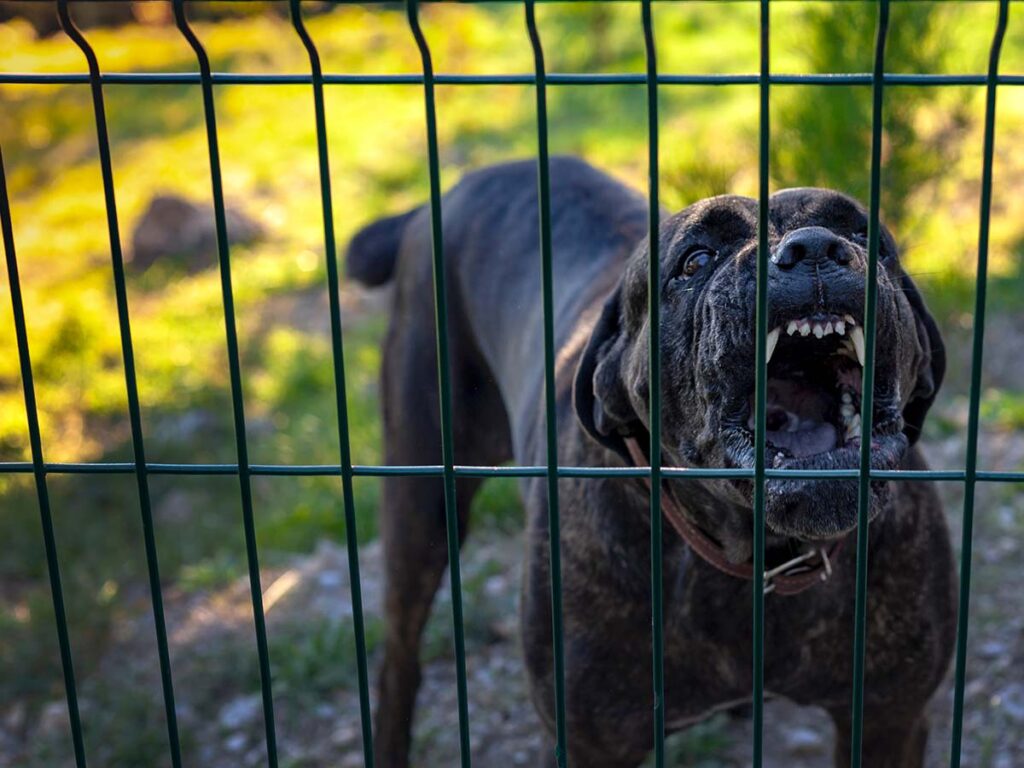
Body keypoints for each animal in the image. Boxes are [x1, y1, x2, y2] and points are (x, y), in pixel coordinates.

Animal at [346, 157, 956, 768]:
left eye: (866, 237)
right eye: (696, 260)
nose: (813, 248)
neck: (757, 554)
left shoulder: (890, 717)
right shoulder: (586, 744)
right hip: (420, 505)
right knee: (399, 660)